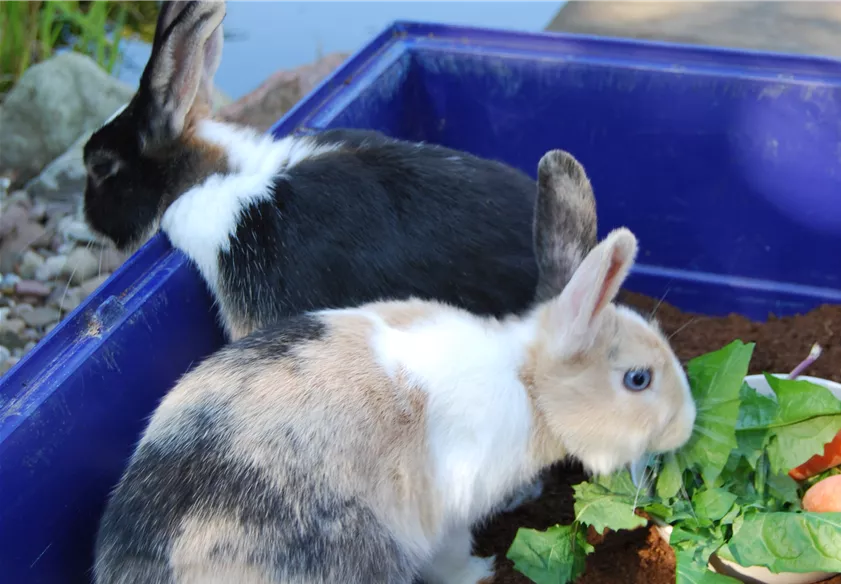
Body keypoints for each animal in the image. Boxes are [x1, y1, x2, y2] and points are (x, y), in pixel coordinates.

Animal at [93, 149, 696, 584]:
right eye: (638, 379)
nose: (687, 425)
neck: (527, 383)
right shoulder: (451, 513)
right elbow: (452, 557)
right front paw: (483, 570)